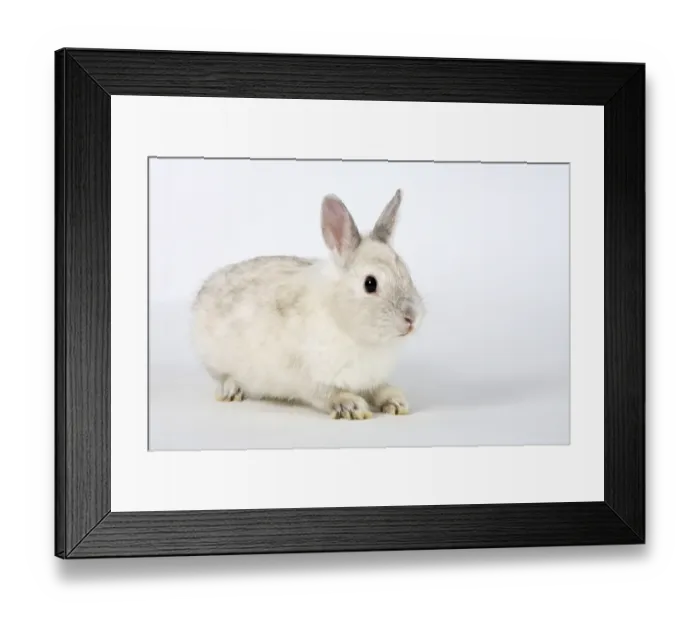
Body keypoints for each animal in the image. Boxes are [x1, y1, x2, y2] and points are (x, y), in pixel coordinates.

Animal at [191, 188, 425, 420]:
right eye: (370, 283)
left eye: (406, 274)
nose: (411, 319)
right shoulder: (311, 378)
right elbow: (328, 394)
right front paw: (351, 406)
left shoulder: (370, 379)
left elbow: (378, 389)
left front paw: (395, 401)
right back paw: (231, 390)